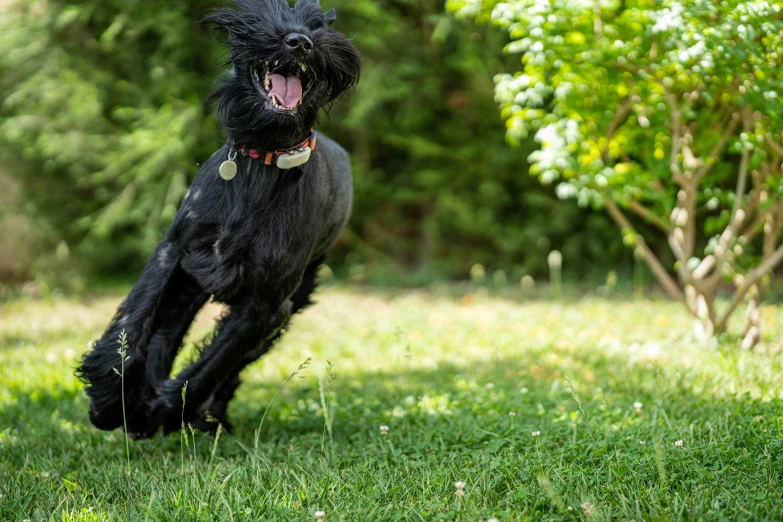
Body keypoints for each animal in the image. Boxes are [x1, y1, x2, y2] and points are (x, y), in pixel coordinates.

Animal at [78, 0, 360, 438]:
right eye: (272, 14)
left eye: (319, 24)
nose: (300, 42)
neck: (263, 161)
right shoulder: (175, 255)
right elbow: (134, 321)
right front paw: (111, 402)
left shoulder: (265, 307)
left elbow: (213, 364)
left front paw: (163, 411)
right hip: (189, 287)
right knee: (165, 337)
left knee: (229, 367)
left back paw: (205, 415)